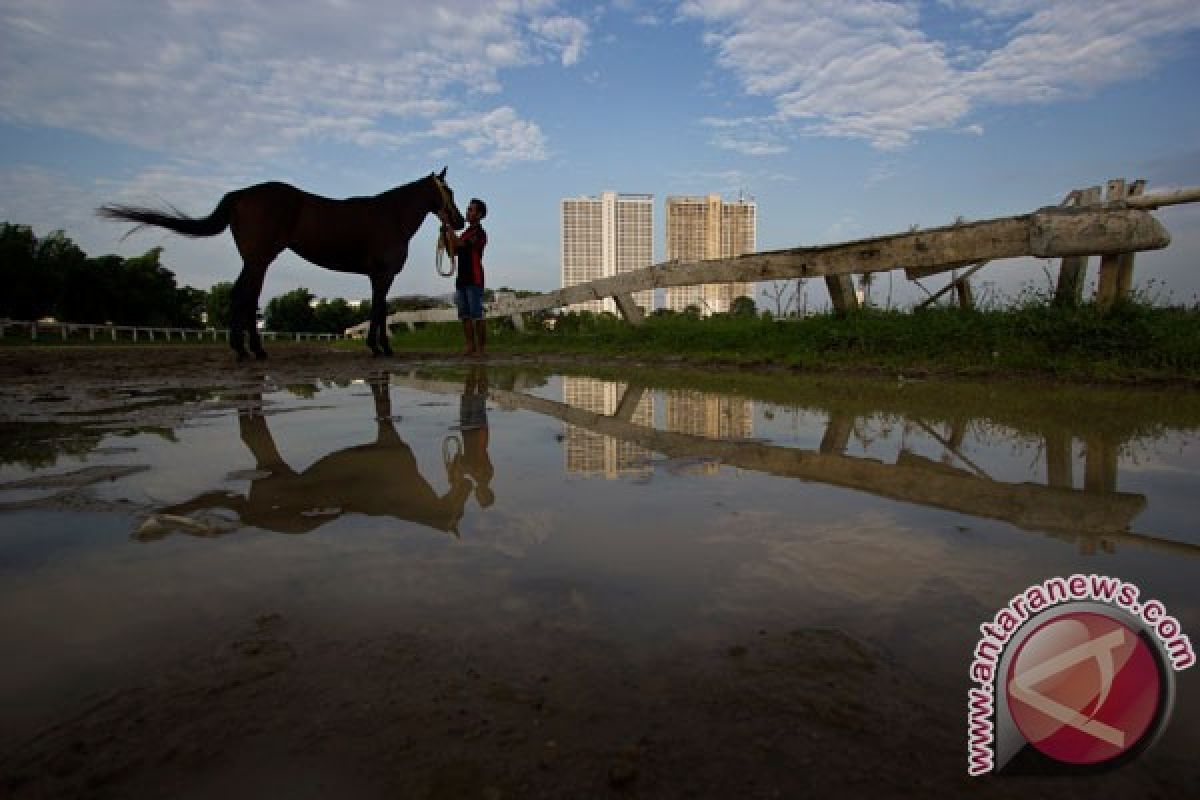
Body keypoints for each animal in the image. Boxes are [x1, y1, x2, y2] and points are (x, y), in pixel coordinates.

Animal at [97, 170, 463, 362]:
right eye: (449, 191)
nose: (459, 221)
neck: (390, 216)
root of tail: (243, 194)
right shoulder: (382, 275)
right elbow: (379, 311)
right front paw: (381, 348)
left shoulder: (377, 277)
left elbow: (379, 310)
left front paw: (378, 346)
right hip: (259, 259)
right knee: (244, 296)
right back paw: (248, 351)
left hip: (255, 261)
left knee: (245, 297)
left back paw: (249, 350)